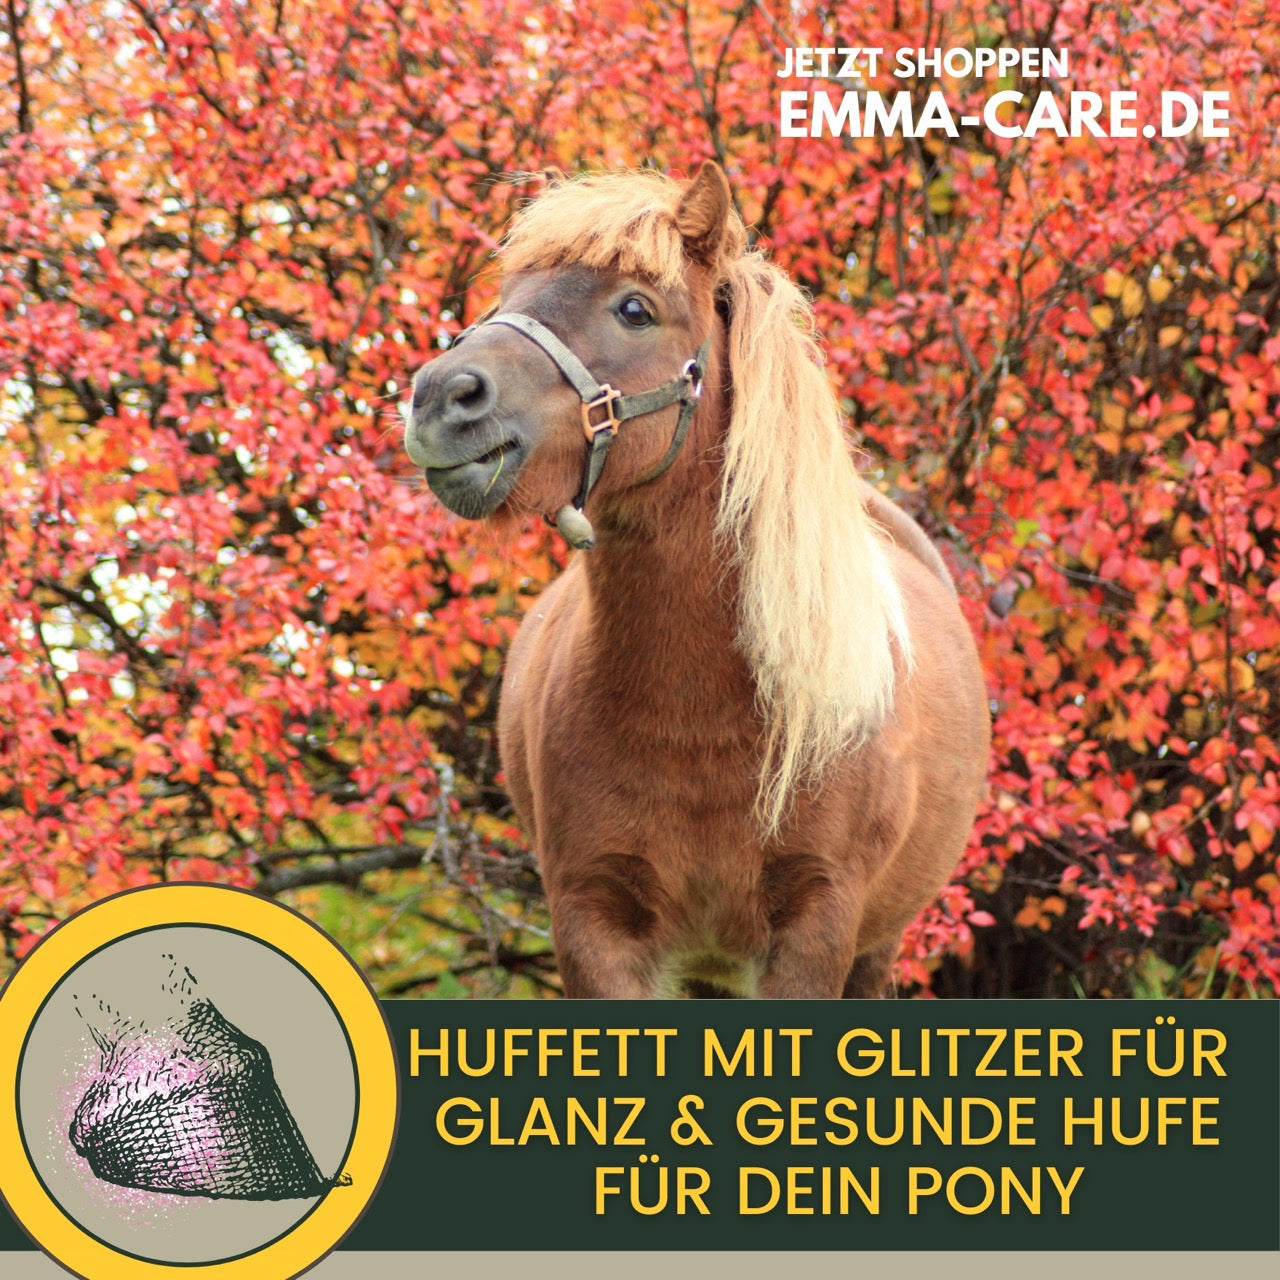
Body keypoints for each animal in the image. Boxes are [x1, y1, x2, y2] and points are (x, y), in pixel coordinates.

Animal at [403, 162, 989, 998]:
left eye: (635, 309)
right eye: (508, 293)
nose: (441, 397)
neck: (700, 714)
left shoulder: (818, 927)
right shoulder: (594, 921)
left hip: (877, 947)